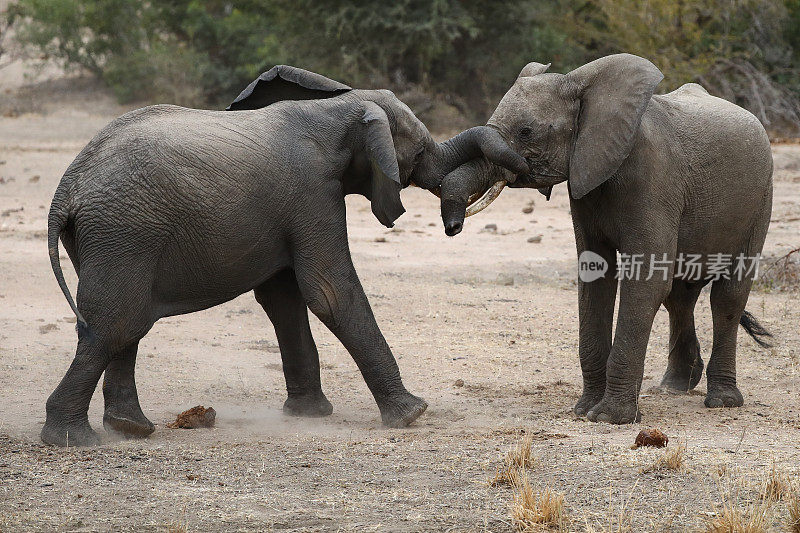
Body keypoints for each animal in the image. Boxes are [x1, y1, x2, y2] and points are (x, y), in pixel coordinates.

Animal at [43, 64, 532, 444]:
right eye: (421, 150)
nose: (453, 227)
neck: (338, 109)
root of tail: (66, 189)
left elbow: (284, 299)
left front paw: (310, 415)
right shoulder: (312, 194)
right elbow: (329, 291)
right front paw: (412, 415)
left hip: (115, 237)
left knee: (125, 323)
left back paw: (130, 428)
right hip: (124, 232)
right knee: (116, 323)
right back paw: (74, 439)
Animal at [438, 54, 776, 424]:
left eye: (526, 132)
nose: (452, 228)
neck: (585, 88)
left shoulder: (653, 181)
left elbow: (646, 282)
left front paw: (609, 418)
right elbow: (595, 279)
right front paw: (584, 410)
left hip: (761, 199)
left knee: (728, 295)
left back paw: (723, 401)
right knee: (680, 296)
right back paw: (673, 387)